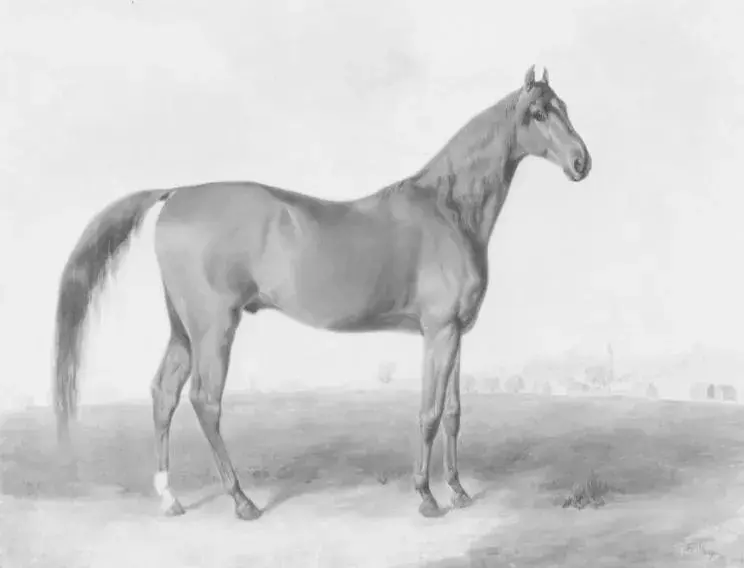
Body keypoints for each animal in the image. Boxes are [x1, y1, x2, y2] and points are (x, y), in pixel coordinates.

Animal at [53, 65, 592, 520]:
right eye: (538, 113)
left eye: (564, 105)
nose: (582, 161)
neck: (447, 209)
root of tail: (177, 193)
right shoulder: (438, 333)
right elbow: (430, 413)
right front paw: (426, 496)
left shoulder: (456, 333)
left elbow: (455, 414)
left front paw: (458, 491)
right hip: (214, 328)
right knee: (205, 401)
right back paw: (242, 501)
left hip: (183, 329)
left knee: (164, 393)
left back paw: (170, 498)